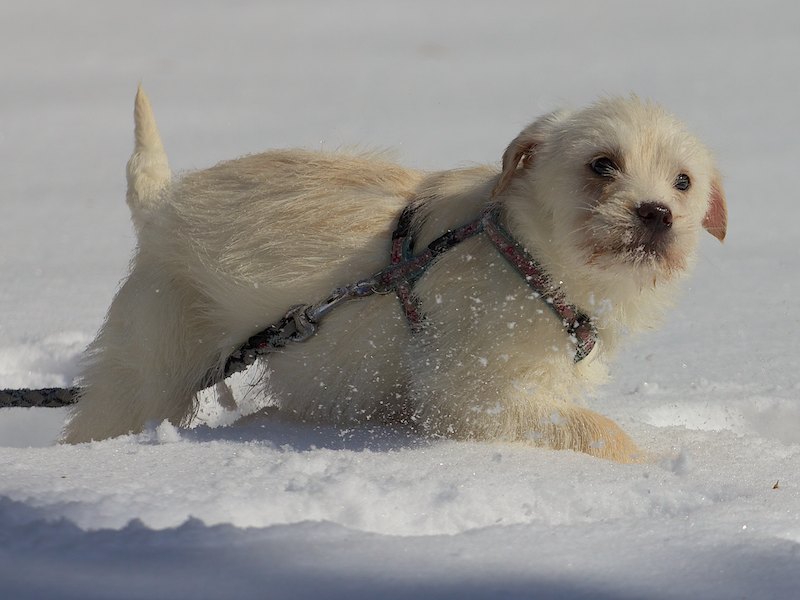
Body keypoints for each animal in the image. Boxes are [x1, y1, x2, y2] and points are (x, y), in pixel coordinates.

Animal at [62, 87, 726, 462]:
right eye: (602, 165)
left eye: (683, 181)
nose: (657, 213)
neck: (528, 258)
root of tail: (162, 205)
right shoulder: (471, 396)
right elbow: (596, 430)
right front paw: (649, 467)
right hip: (149, 368)